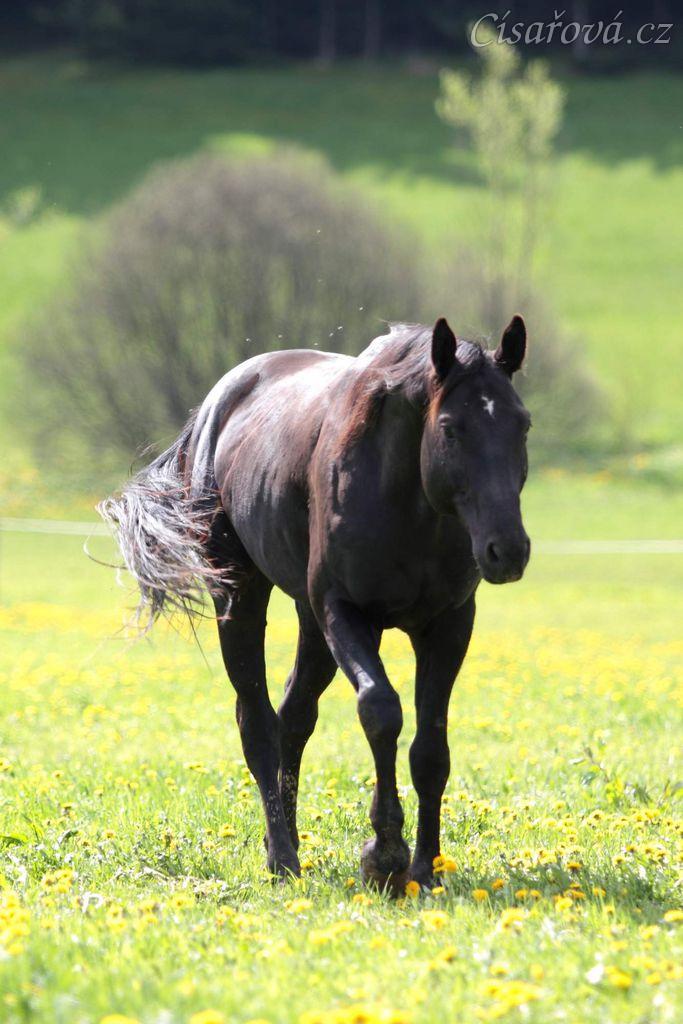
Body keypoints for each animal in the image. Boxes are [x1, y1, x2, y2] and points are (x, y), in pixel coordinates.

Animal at [100, 314, 531, 891]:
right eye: (450, 428)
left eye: (522, 425)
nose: (507, 549)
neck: (405, 503)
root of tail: (216, 406)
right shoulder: (344, 613)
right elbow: (380, 711)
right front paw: (384, 855)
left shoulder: (448, 625)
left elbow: (430, 749)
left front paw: (425, 868)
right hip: (241, 595)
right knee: (258, 721)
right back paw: (284, 859)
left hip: (311, 624)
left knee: (294, 716)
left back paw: (284, 843)